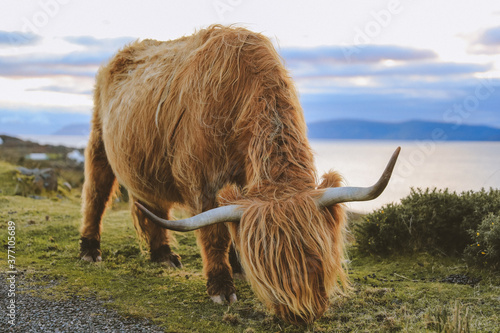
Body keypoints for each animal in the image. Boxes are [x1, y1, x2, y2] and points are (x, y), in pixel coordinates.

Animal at [80, 26, 400, 324]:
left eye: (316, 255)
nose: (300, 315)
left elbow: (232, 221)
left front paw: (238, 268)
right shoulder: (201, 180)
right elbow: (215, 234)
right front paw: (221, 287)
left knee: (151, 204)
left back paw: (163, 255)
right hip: (98, 139)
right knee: (96, 193)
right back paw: (90, 250)